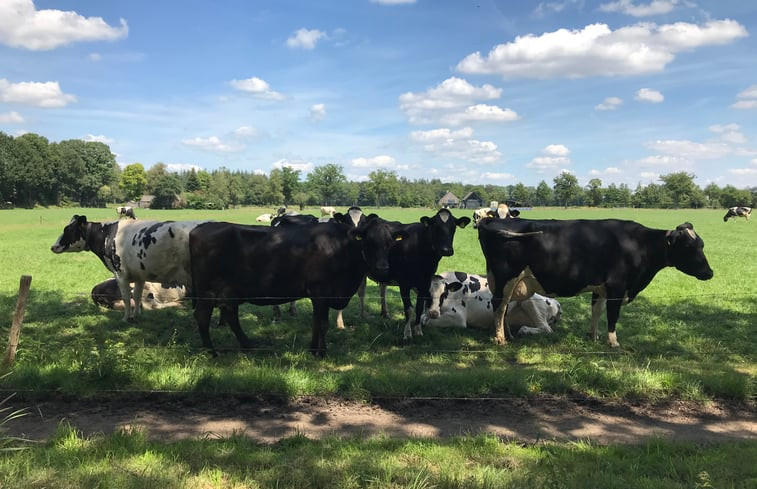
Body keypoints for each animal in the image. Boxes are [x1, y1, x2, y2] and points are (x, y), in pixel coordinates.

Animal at [50, 215, 207, 322]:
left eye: (67, 229)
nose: (53, 247)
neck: (107, 234)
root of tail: (95, 291)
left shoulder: (121, 274)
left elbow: (127, 298)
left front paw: (126, 318)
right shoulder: (139, 274)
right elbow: (136, 296)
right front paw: (136, 316)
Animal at [364, 209, 470, 340]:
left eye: (453, 227)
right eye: (435, 227)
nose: (446, 250)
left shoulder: (425, 283)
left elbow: (419, 307)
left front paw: (418, 330)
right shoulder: (404, 283)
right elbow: (409, 309)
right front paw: (407, 333)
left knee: (382, 288)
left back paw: (385, 313)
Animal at [476, 217, 712, 346]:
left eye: (702, 244)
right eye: (688, 247)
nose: (709, 273)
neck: (639, 244)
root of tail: (493, 220)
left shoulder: (600, 287)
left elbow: (596, 311)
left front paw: (593, 336)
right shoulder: (617, 286)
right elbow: (613, 315)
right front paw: (613, 342)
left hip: (508, 282)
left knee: (503, 307)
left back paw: (507, 335)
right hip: (506, 277)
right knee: (498, 305)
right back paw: (500, 339)